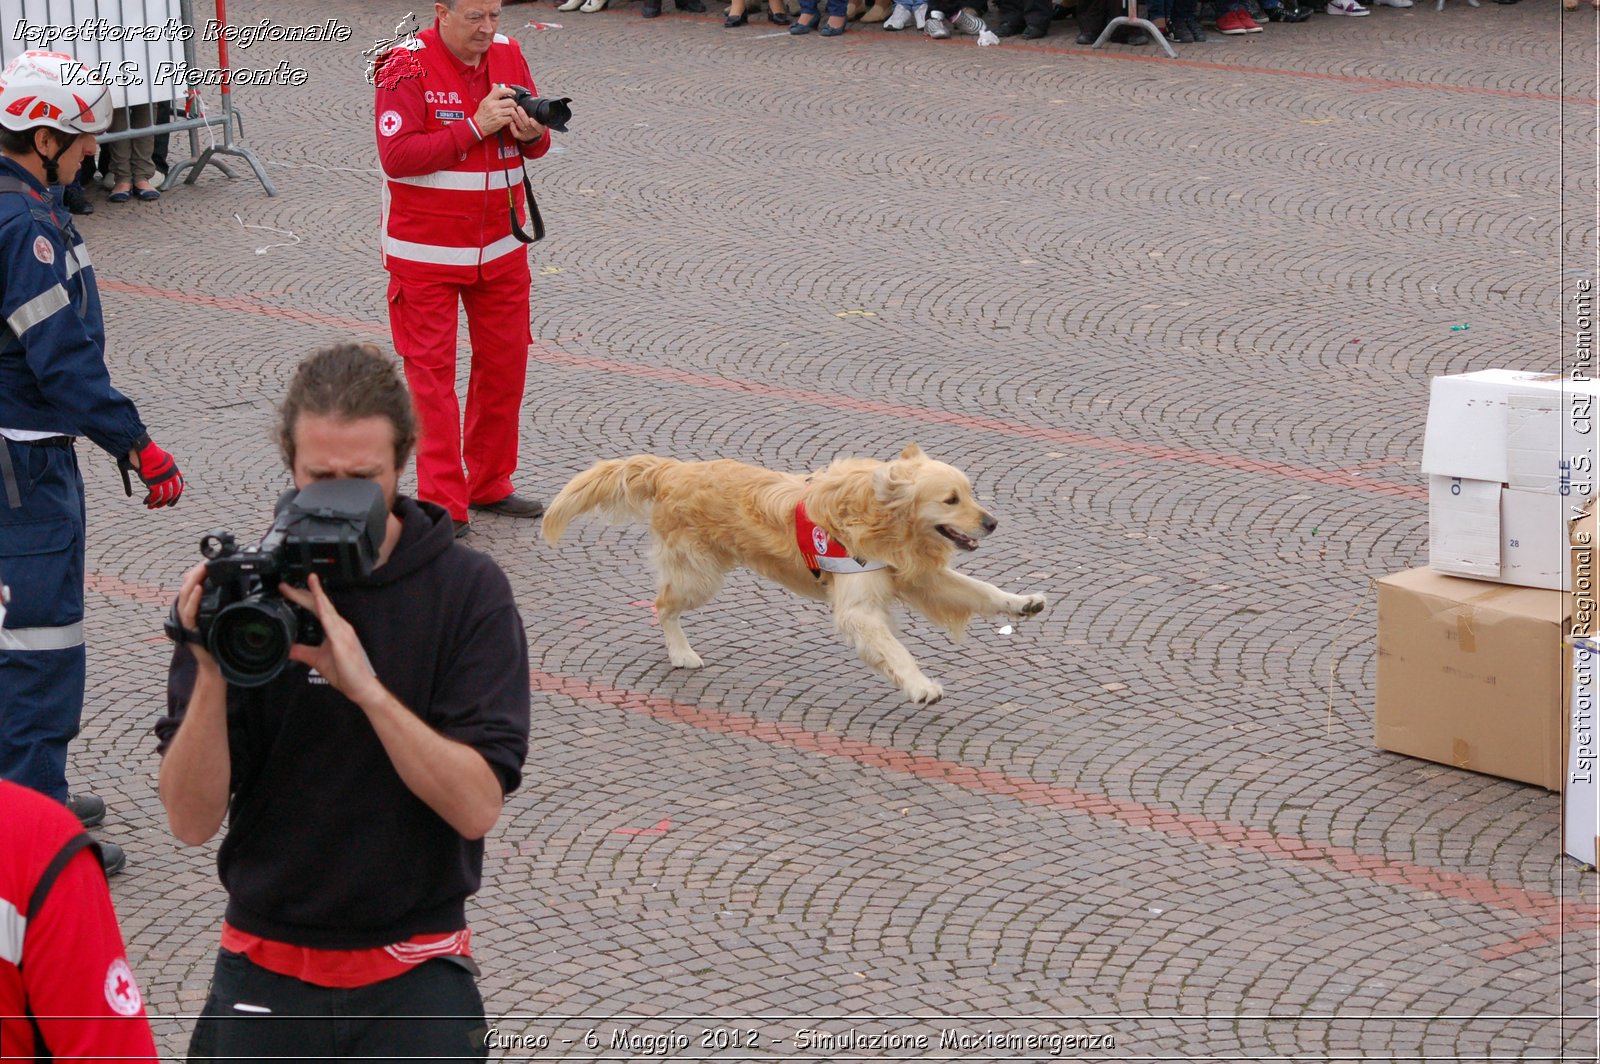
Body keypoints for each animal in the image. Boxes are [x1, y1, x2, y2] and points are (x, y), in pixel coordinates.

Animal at [540, 444, 1049, 700]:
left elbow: (981, 590)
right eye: (950, 500)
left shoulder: (916, 576)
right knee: (662, 604)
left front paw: (1022, 603)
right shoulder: (858, 607)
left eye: (971, 492)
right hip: (698, 575)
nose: (992, 522)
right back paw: (681, 652)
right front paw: (920, 685)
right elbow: (896, 650)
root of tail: (672, 471)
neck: (882, 519)